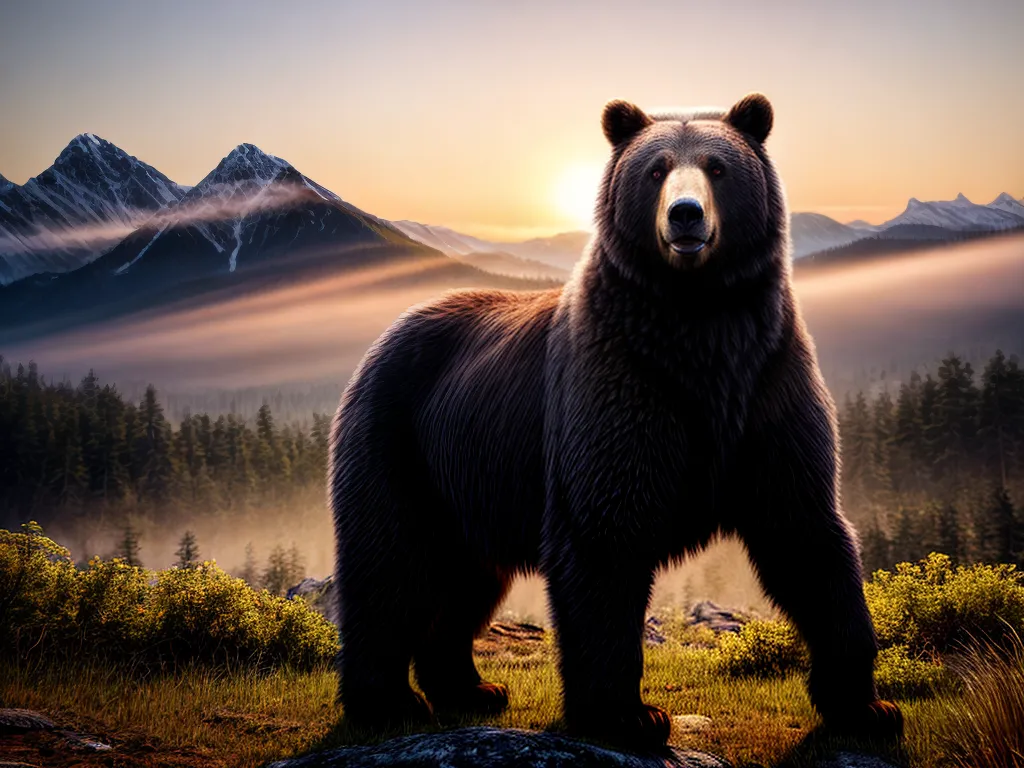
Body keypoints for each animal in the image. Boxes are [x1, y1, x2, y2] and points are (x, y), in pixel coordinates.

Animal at [329, 93, 903, 749]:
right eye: (655, 170)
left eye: (718, 167)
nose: (685, 215)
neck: (700, 326)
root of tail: (386, 335)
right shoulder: (619, 384)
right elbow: (606, 533)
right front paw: (629, 715)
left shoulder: (766, 382)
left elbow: (805, 531)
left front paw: (868, 708)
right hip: (397, 440)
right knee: (388, 563)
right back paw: (387, 703)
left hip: (468, 481)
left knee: (468, 580)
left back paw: (470, 689)